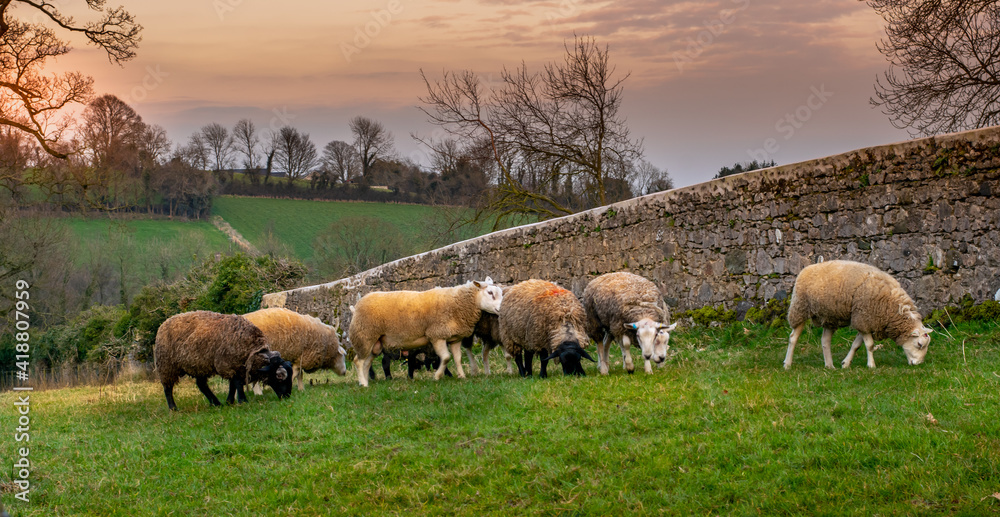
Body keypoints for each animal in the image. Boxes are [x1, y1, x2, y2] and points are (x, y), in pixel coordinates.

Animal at [154, 310, 294, 411]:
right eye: (279, 376)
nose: (287, 396)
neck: (252, 350)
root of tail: (165, 322)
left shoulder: (236, 366)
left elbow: (232, 384)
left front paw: (229, 401)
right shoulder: (228, 364)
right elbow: (237, 383)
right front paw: (242, 401)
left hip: (199, 364)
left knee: (201, 384)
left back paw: (216, 403)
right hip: (166, 365)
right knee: (167, 388)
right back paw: (173, 408)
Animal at [348, 277, 503, 387]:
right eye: (490, 293)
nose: (501, 310)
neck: (457, 303)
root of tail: (356, 307)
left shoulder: (455, 338)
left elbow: (457, 358)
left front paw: (462, 376)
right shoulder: (436, 335)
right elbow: (446, 357)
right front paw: (437, 376)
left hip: (375, 343)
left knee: (367, 363)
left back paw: (365, 381)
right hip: (364, 336)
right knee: (358, 361)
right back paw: (363, 383)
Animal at [783, 260, 933, 369]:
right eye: (919, 344)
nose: (918, 364)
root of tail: (809, 266)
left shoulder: (865, 321)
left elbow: (856, 345)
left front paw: (845, 364)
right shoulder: (863, 318)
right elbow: (870, 345)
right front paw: (871, 365)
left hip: (830, 317)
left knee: (825, 341)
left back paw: (830, 366)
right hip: (800, 307)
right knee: (793, 338)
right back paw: (787, 364)